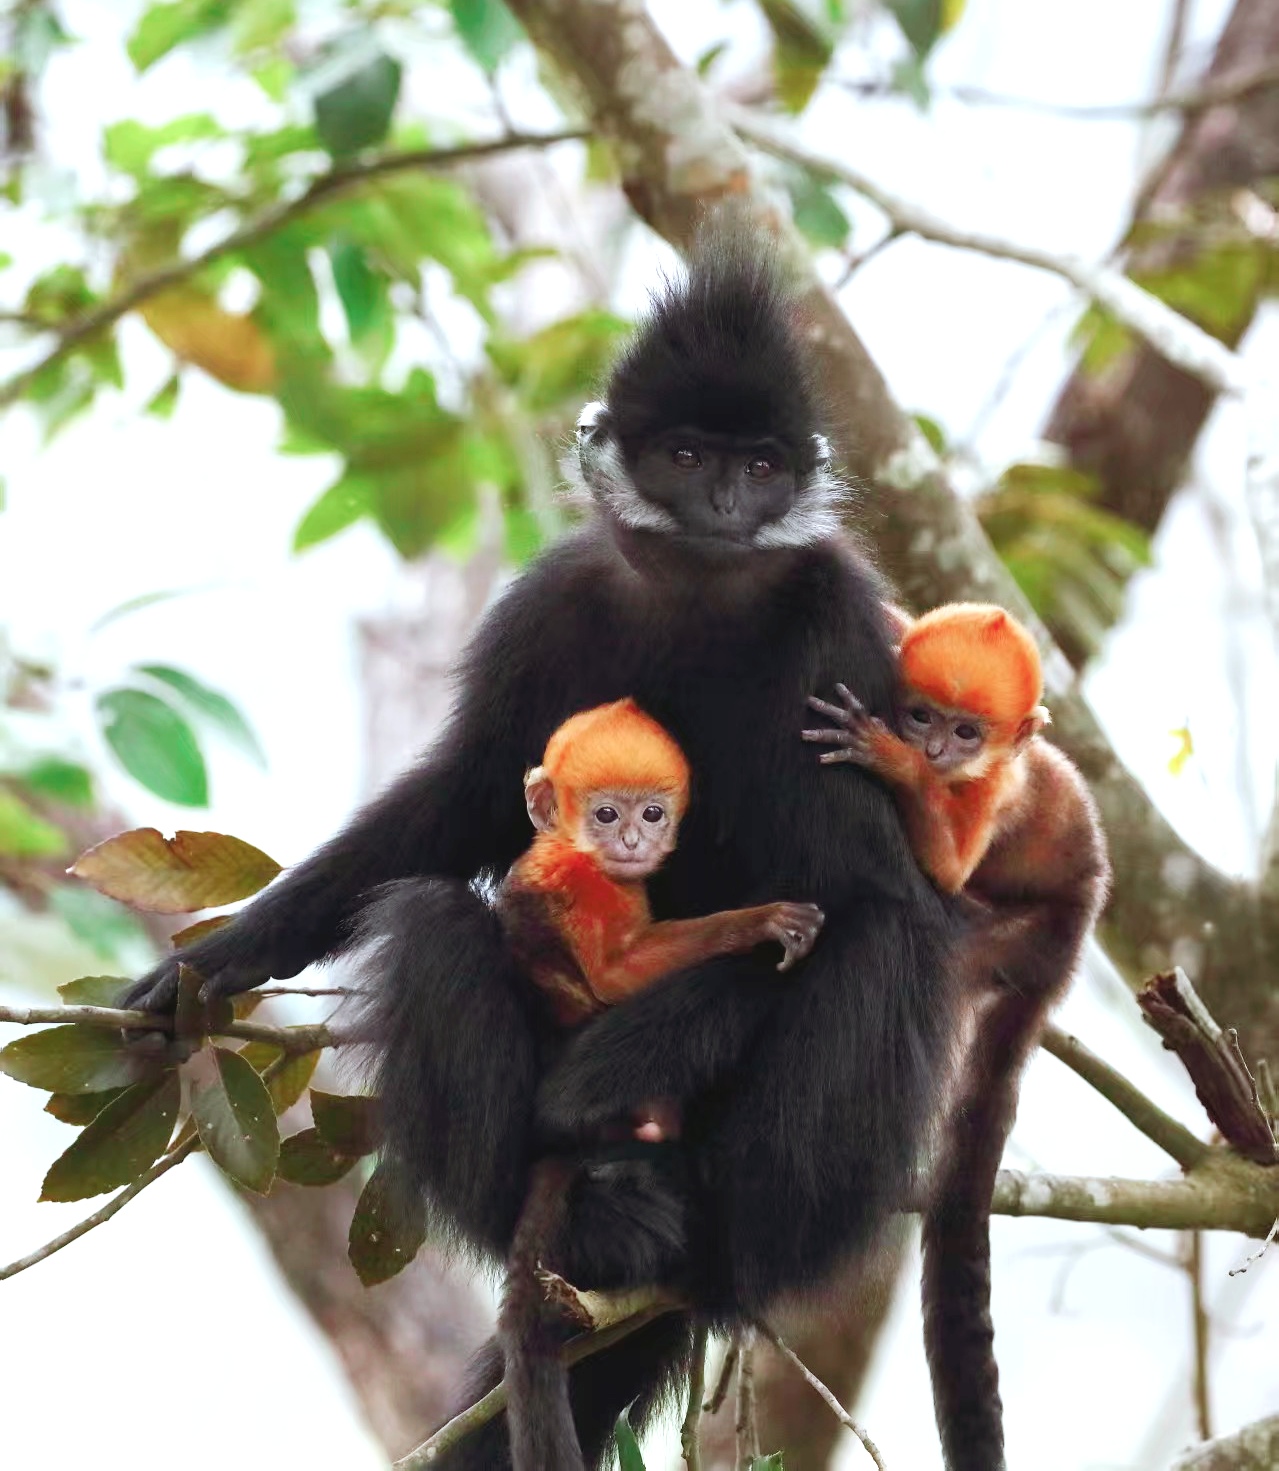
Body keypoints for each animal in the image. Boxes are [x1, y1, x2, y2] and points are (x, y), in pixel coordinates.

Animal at [121, 221, 972, 1470]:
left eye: (763, 466)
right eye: (686, 452)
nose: (727, 498)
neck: (699, 600)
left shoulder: (839, 635)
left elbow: (866, 895)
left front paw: (606, 1071)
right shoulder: (551, 604)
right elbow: (459, 803)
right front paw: (209, 964)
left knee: (882, 948)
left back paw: (708, 1240)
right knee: (429, 914)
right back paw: (596, 1218)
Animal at [805, 600, 1110, 1469]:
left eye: (965, 731)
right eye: (922, 713)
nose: (934, 747)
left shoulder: (992, 796)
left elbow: (944, 866)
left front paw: (894, 763)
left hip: (1028, 937)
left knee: (940, 922)